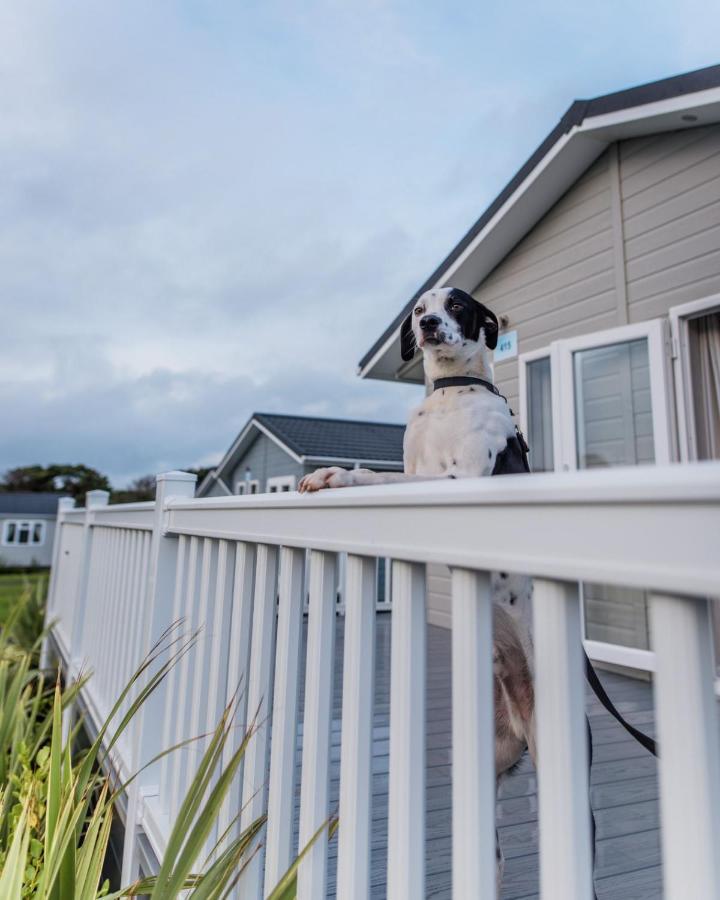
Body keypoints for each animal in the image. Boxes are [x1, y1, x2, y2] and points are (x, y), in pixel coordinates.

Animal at [300, 286, 540, 884]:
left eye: (458, 306)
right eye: (419, 308)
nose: (429, 324)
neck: (452, 394)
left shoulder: (456, 481)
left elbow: (379, 477)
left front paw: (337, 474)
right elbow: (387, 472)